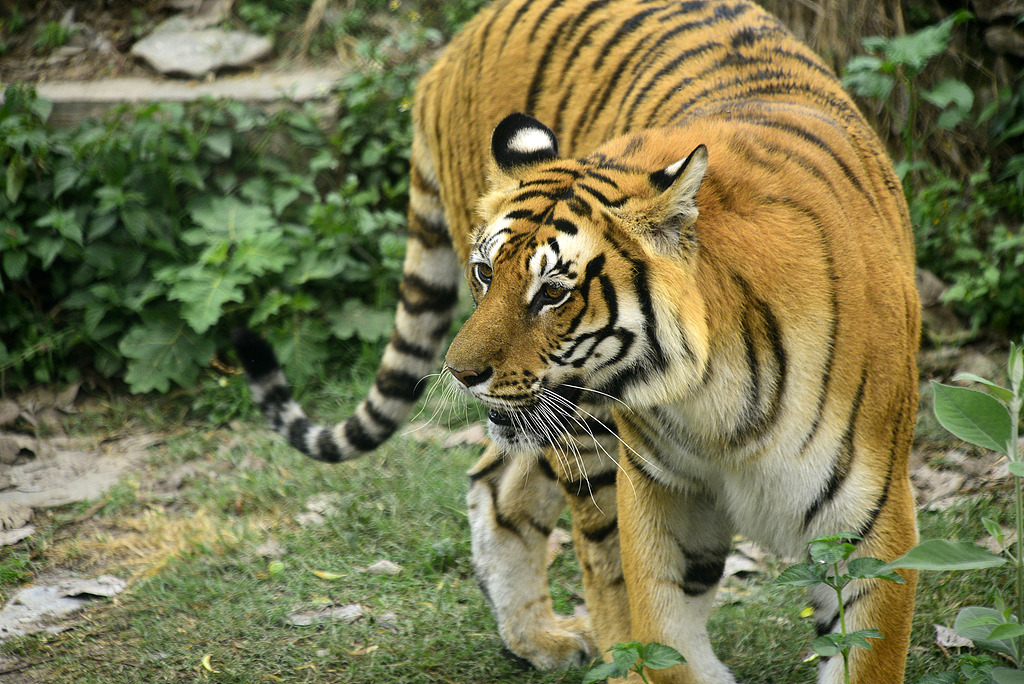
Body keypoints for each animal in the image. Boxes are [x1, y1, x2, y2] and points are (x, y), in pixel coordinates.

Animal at [232, 0, 922, 681]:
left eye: (553, 293)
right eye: (485, 273)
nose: (461, 373)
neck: (714, 405)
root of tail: (450, 51)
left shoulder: (873, 525)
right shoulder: (659, 496)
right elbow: (661, 634)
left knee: (495, 480)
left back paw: (536, 637)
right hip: (584, 438)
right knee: (577, 541)